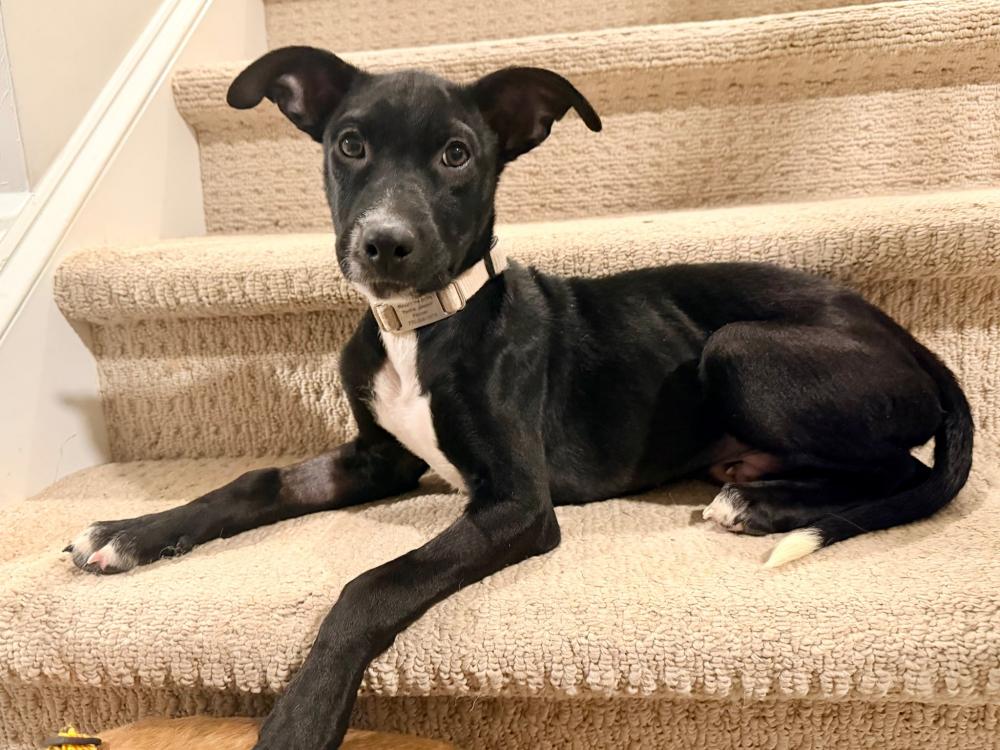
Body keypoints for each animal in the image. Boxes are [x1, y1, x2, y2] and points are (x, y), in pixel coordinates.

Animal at [62, 46, 973, 750]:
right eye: (349, 144)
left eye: (457, 154)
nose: (383, 245)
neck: (421, 324)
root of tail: (910, 340)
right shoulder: (376, 458)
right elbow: (254, 483)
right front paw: (129, 535)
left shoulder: (517, 503)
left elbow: (372, 585)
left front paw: (301, 715)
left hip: (739, 350)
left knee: (902, 473)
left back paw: (763, 506)